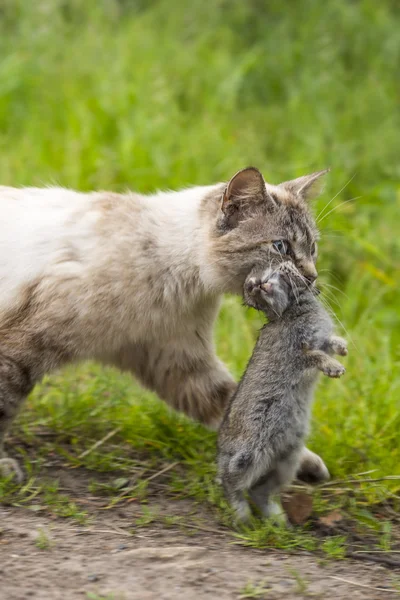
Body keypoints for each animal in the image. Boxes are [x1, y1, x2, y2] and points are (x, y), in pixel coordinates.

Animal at [0, 165, 330, 482]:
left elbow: (235, 410)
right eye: (281, 246)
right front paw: (4, 468)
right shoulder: (22, 348)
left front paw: (297, 462)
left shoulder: (180, 362)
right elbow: (5, 404)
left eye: (312, 248)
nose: (312, 277)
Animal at [216, 262, 346, 520]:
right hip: (247, 455)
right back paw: (242, 516)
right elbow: (316, 356)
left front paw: (343, 350)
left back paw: (278, 521)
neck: (289, 309)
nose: (257, 285)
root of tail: (222, 451)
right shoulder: (299, 353)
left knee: (259, 490)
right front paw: (336, 369)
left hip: (286, 460)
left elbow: (330, 344)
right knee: (230, 480)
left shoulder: (322, 341)